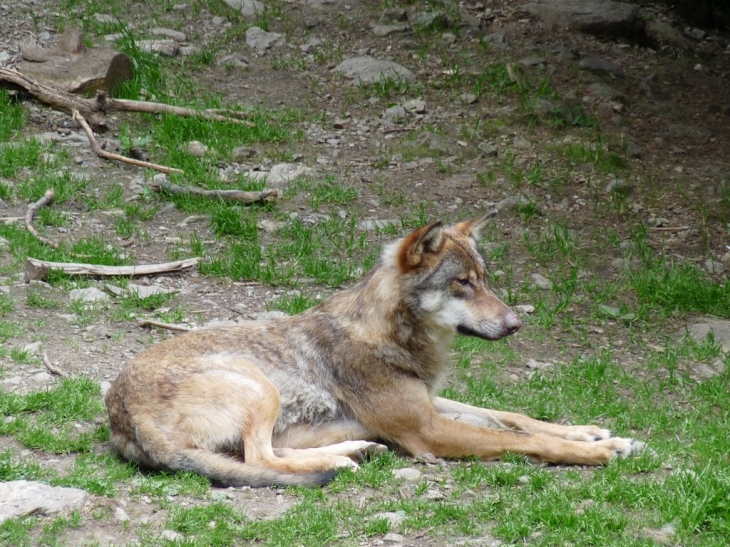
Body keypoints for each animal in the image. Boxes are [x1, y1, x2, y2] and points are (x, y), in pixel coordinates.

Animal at [105, 216, 640, 486]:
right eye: (462, 284)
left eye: (486, 280)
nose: (515, 324)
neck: (392, 338)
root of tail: (120, 411)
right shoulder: (427, 429)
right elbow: (524, 440)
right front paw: (595, 452)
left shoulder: (430, 404)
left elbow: (514, 417)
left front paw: (592, 433)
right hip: (258, 386)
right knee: (261, 458)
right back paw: (342, 462)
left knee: (263, 455)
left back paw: (354, 451)